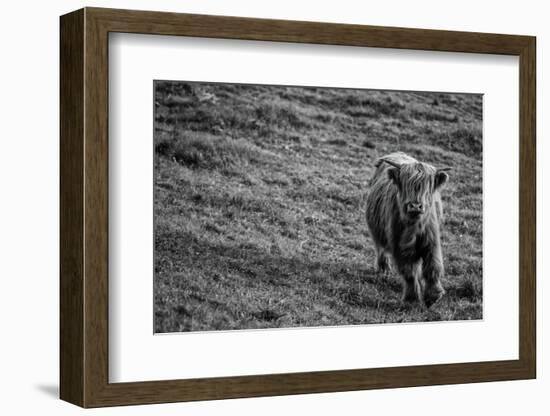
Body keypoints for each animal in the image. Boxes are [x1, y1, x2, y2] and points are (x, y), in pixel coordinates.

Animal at [366, 152, 452, 306]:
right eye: (406, 184)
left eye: (426, 187)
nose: (415, 206)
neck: (414, 227)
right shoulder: (399, 246)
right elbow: (409, 272)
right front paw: (412, 298)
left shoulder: (432, 242)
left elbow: (433, 266)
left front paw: (433, 296)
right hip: (376, 230)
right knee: (380, 248)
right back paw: (384, 269)